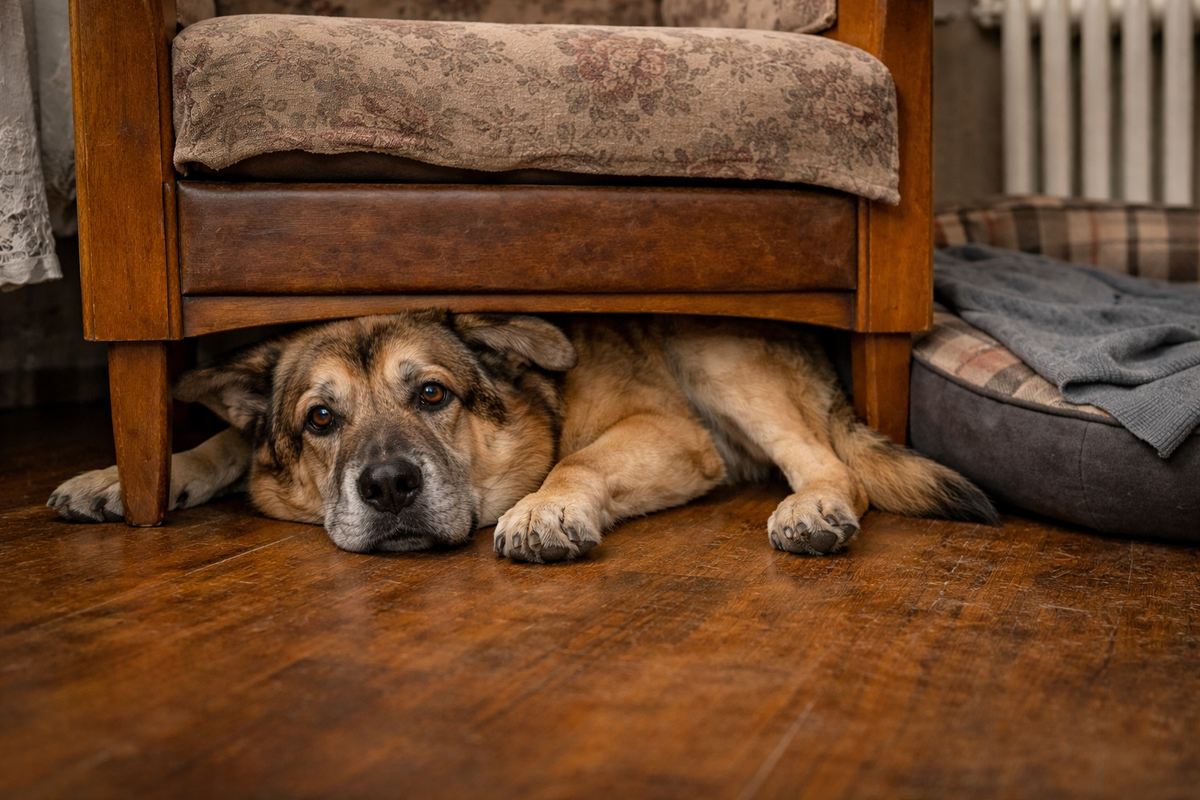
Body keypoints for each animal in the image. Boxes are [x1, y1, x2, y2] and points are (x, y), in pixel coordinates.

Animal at [49, 312, 997, 561]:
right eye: (321, 419)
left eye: (432, 394)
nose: (388, 487)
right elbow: (221, 448)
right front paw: (119, 478)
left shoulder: (666, 431)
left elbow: (574, 460)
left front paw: (543, 509)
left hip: (722, 357)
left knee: (833, 465)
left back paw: (813, 509)